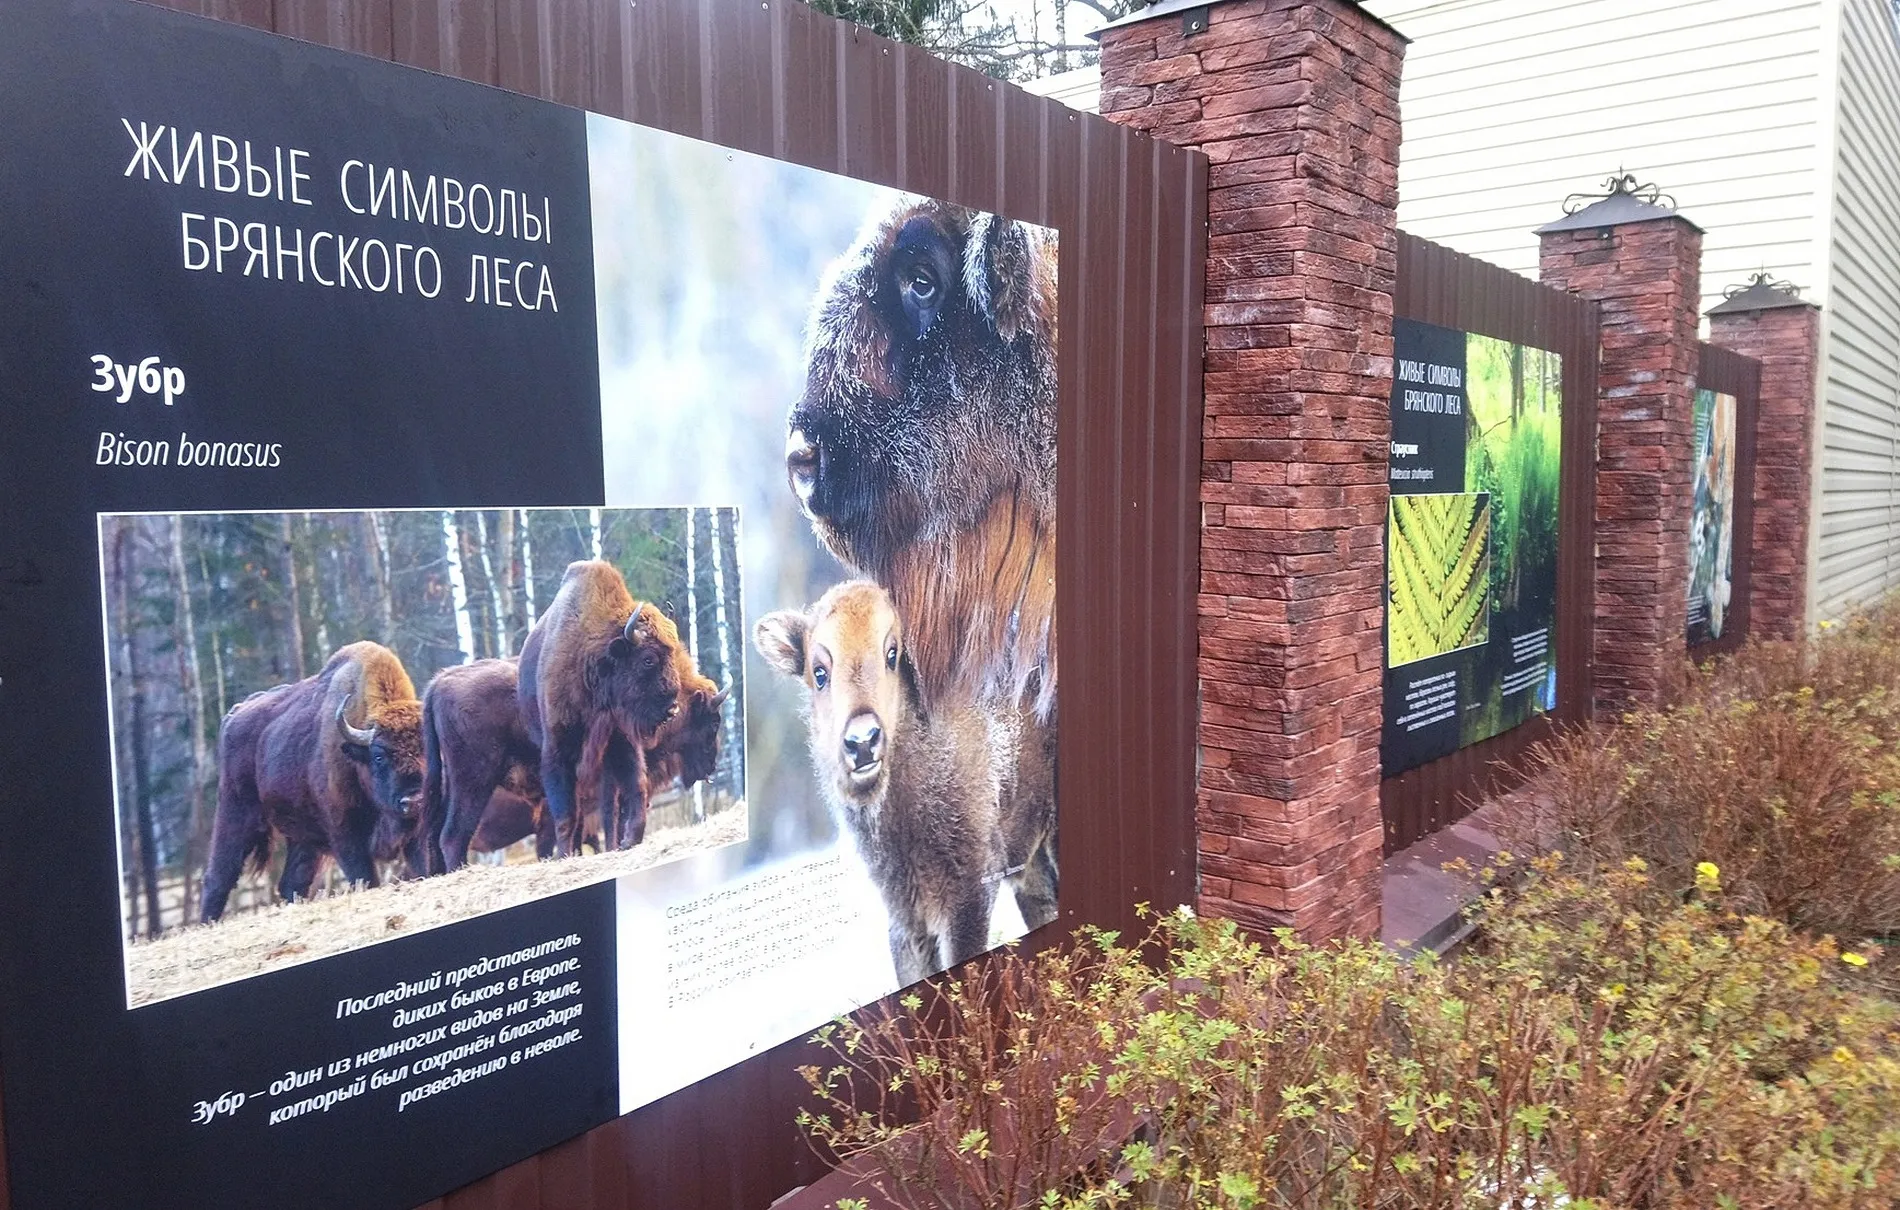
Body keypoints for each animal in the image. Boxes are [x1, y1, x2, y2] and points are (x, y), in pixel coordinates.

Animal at [198, 642, 425, 915]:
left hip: (302, 837)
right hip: (235, 813)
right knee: (219, 878)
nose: (414, 800)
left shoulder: (414, 834)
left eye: (428, 749)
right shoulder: (345, 836)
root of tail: (233, 714)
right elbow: (366, 877)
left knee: (292, 883)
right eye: (379, 756)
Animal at [524, 558, 687, 854]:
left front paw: (630, 840)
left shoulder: (622, 738)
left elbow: (636, 785)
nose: (672, 709)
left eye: (672, 653)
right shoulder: (556, 750)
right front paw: (564, 855)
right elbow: (565, 812)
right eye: (648, 659)